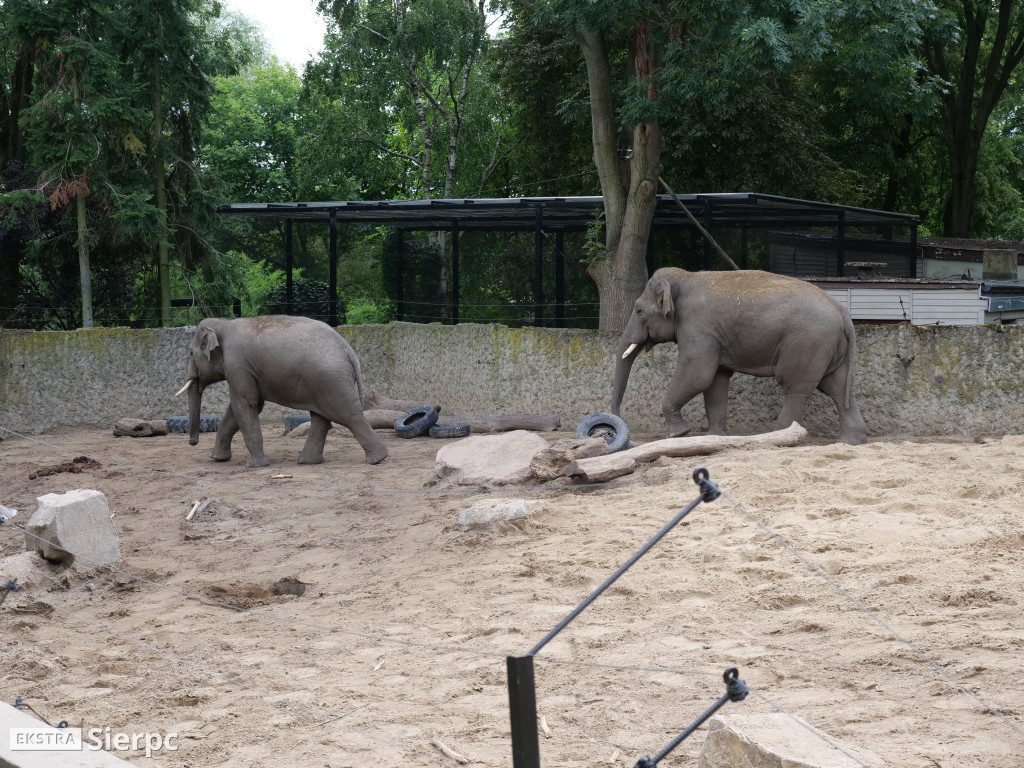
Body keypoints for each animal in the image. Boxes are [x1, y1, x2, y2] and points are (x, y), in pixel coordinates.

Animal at [174, 317, 385, 468]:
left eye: (190, 353)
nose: (192, 442)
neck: (224, 323)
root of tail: (349, 351)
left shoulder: (237, 365)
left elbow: (245, 404)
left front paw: (255, 465)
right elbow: (240, 408)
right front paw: (217, 458)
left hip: (331, 380)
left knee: (347, 415)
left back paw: (377, 459)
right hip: (322, 382)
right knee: (321, 417)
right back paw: (307, 461)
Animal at [610, 268, 868, 444]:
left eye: (639, 311)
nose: (613, 428)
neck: (684, 276)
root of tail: (842, 311)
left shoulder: (698, 327)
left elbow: (697, 375)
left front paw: (678, 435)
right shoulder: (713, 336)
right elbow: (715, 381)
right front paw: (715, 437)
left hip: (807, 343)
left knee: (796, 388)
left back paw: (779, 437)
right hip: (829, 347)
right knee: (837, 387)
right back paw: (850, 442)